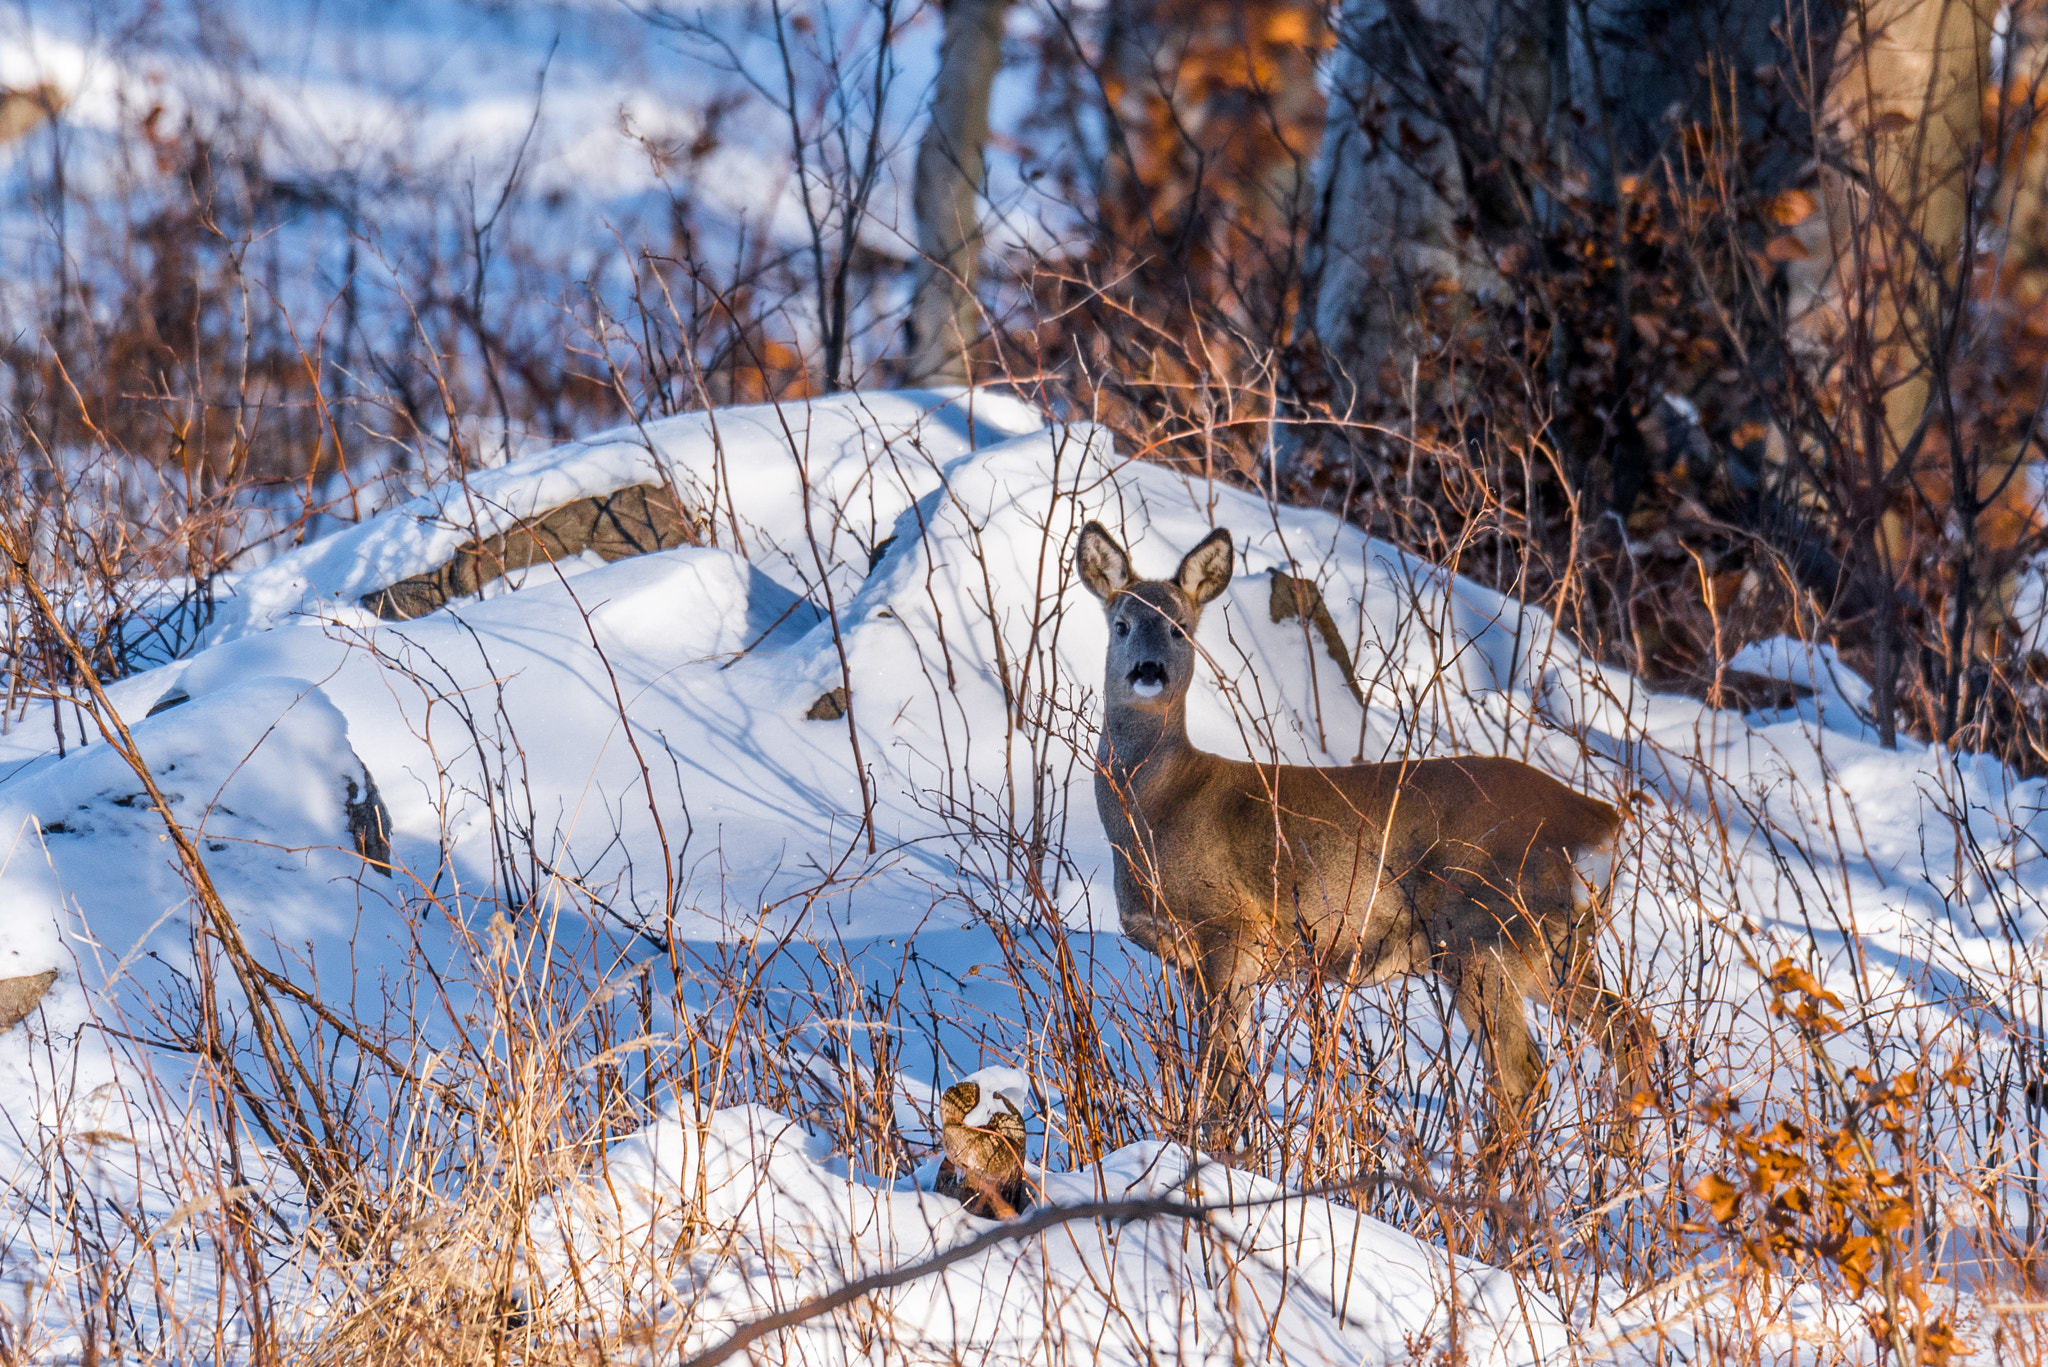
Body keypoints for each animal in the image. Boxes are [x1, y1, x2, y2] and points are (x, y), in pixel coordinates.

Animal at [1076, 520, 1658, 1149]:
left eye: (1179, 627)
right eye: (1121, 624)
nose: (1148, 671)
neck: (1159, 807)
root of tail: (1602, 820)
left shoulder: (1231, 930)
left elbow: (1220, 1078)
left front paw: (1214, 1155)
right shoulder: (1194, 958)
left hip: (1485, 932)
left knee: (1523, 1074)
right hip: (1557, 944)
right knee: (1630, 1031)